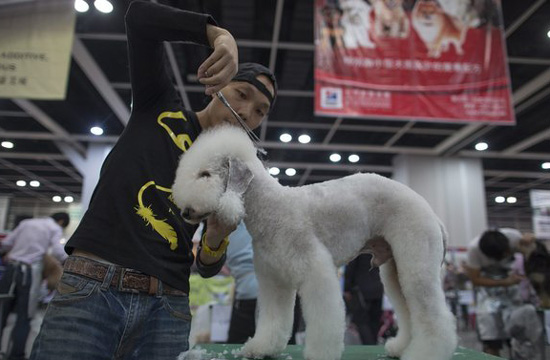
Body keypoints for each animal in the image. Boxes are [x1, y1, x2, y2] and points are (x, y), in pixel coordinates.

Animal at [175, 126, 460, 360]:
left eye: (205, 173)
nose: (185, 212)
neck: (271, 209)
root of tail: (432, 214)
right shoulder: (273, 280)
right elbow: (273, 319)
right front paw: (261, 347)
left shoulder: (315, 271)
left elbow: (325, 317)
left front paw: (320, 353)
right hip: (395, 270)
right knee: (408, 309)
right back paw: (401, 348)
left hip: (417, 263)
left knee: (436, 317)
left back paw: (426, 353)